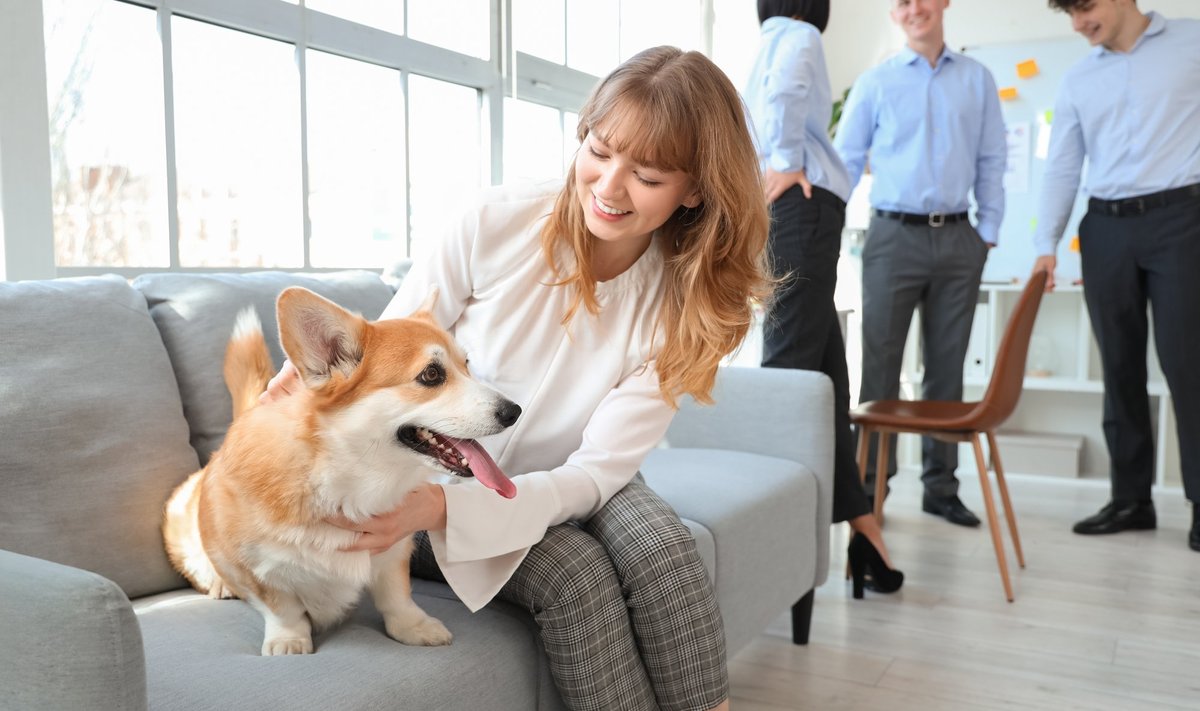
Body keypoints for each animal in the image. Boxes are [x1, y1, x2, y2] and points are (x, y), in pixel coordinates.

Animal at [162, 287, 518, 653]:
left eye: (467, 365)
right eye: (431, 375)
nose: (514, 412)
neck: (349, 476)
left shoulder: (395, 547)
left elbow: (396, 595)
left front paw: (413, 626)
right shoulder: (254, 567)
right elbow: (282, 607)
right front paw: (288, 640)